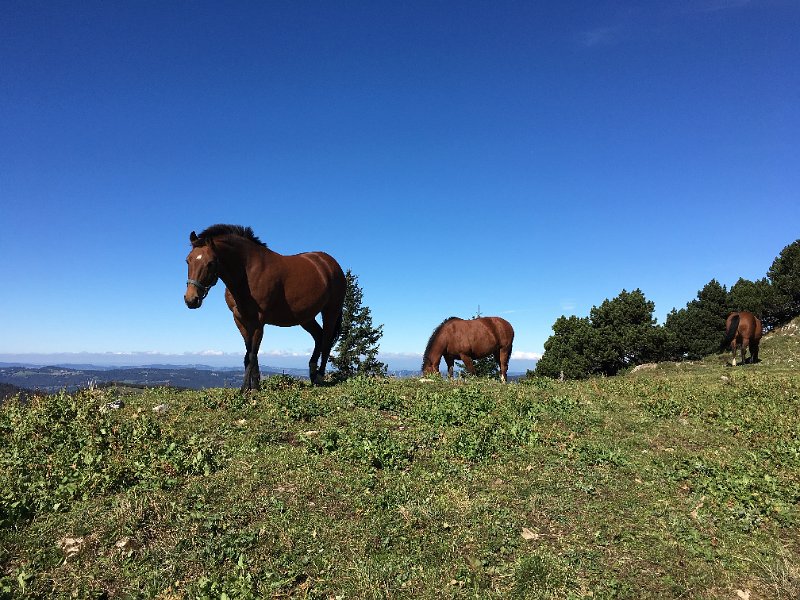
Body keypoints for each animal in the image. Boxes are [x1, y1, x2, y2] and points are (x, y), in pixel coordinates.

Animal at [184, 224, 345, 390]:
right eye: (188, 261)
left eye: (210, 263)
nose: (191, 299)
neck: (248, 272)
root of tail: (330, 263)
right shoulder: (240, 320)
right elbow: (249, 353)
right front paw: (254, 386)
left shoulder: (258, 321)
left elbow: (251, 354)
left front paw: (246, 389)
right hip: (306, 317)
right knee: (318, 336)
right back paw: (313, 375)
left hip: (331, 311)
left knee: (326, 340)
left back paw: (319, 376)